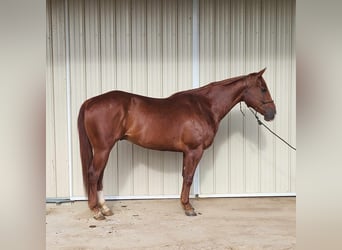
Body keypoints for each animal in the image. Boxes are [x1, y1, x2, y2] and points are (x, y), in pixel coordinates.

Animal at [77, 68, 276, 219]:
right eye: (263, 88)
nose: (272, 113)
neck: (205, 106)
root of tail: (90, 102)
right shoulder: (195, 151)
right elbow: (188, 178)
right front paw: (188, 208)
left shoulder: (186, 152)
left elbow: (184, 176)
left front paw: (184, 204)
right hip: (103, 149)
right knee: (93, 175)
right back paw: (96, 211)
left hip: (103, 149)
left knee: (99, 177)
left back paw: (105, 208)